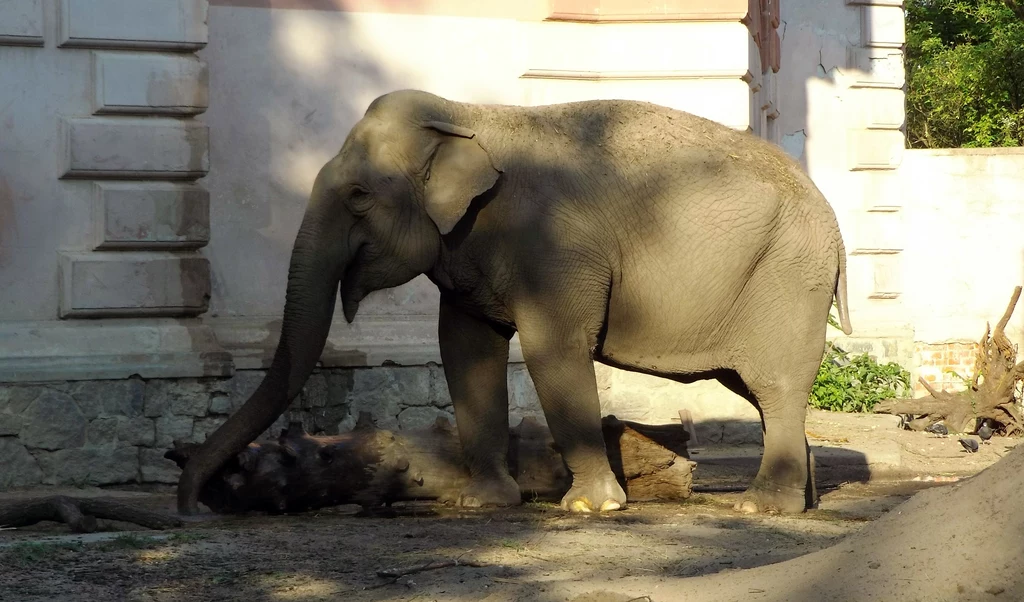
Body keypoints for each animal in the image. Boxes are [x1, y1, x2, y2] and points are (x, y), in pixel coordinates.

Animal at [174, 89, 847, 518]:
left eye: (360, 195)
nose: (192, 510)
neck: (464, 115)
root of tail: (835, 225)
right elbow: (464, 353)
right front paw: (483, 502)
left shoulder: (555, 248)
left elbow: (553, 351)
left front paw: (591, 506)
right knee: (759, 391)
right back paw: (802, 500)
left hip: (788, 280)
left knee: (776, 385)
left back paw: (763, 506)